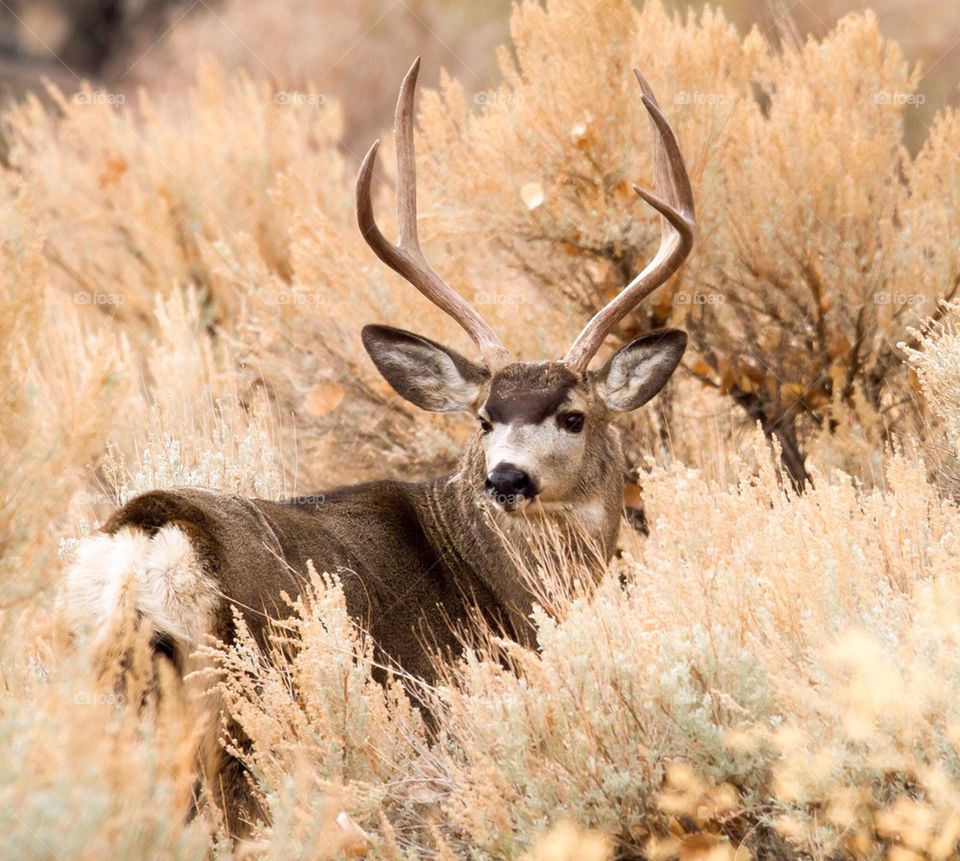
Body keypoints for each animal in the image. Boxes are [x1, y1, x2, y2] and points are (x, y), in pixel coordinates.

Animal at [60, 58, 695, 835]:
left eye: (573, 416)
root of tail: (145, 536)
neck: (509, 580)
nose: (506, 479)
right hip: (242, 700)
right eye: (484, 418)